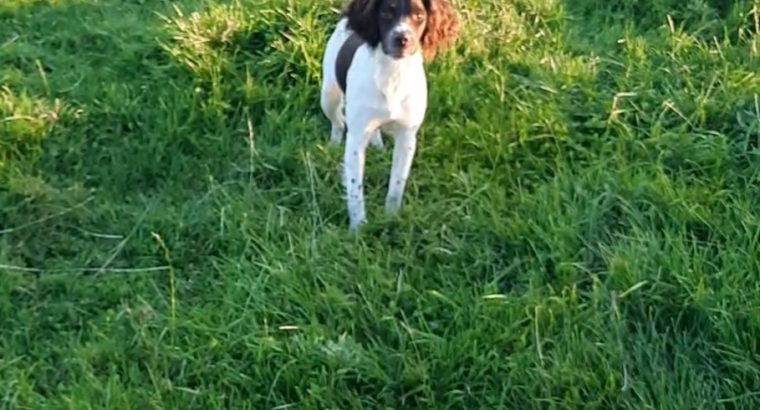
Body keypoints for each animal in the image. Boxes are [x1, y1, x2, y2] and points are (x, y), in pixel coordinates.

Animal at [320, 0, 458, 231]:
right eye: (386, 13)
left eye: (419, 16)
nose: (402, 39)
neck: (394, 73)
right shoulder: (356, 139)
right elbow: (355, 189)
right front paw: (358, 228)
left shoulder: (407, 137)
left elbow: (396, 184)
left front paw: (391, 217)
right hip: (329, 95)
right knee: (338, 122)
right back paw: (332, 145)